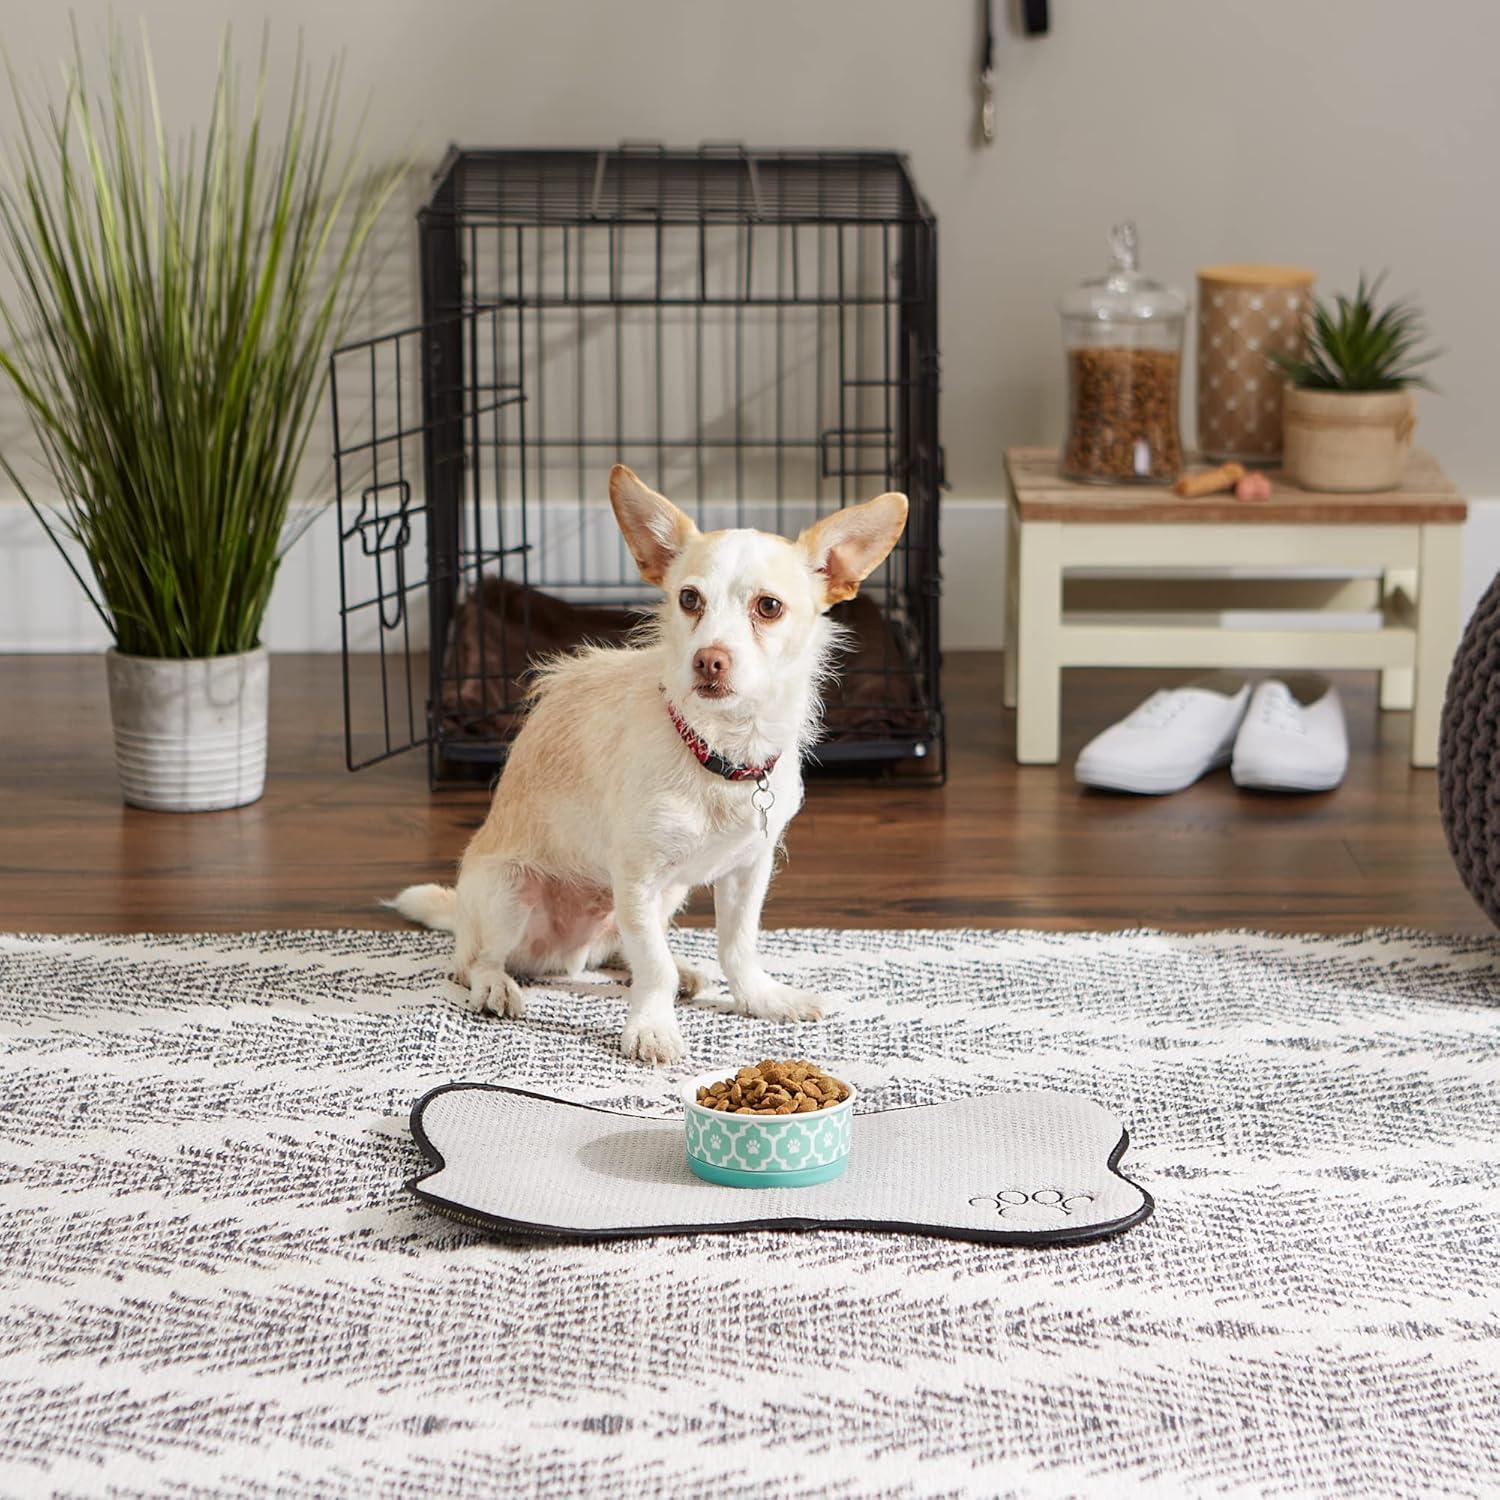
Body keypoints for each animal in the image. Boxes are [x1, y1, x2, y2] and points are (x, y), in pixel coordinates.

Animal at [393, 462, 906, 1062]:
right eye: (688, 599)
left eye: (768, 607)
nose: (708, 659)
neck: (721, 753)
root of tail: (558, 956)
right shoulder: (637, 877)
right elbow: (652, 967)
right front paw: (653, 1028)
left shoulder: (747, 871)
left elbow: (737, 945)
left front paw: (761, 998)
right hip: (510, 892)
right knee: (477, 960)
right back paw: (496, 984)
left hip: (664, 897)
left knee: (618, 949)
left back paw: (676, 970)